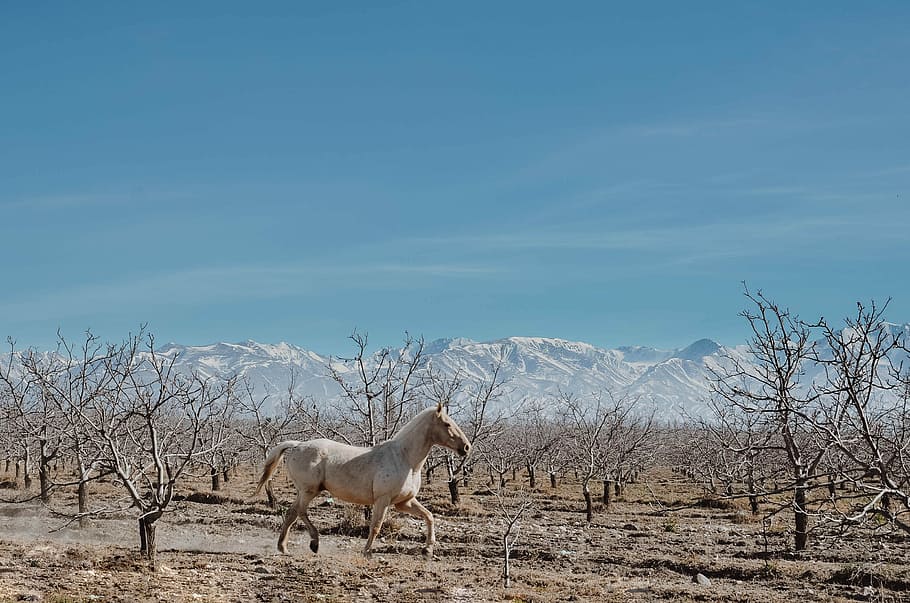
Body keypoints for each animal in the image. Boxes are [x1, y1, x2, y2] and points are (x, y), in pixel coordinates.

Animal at [255, 403, 471, 558]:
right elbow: (376, 526)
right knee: (300, 511)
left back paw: (284, 548)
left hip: (304, 491)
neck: (405, 458)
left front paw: (428, 549)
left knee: (291, 513)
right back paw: (314, 543)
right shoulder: (383, 500)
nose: (466, 447)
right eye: (447, 424)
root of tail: (297, 445)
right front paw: (367, 552)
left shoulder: (404, 502)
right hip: (309, 490)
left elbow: (429, 516)